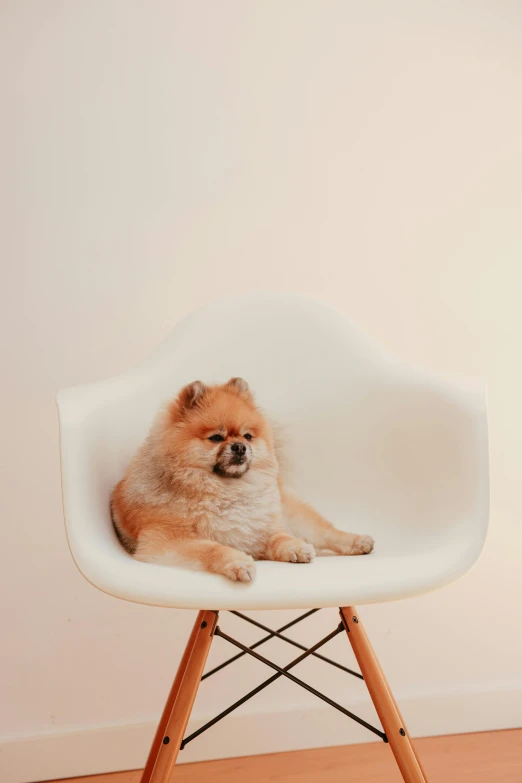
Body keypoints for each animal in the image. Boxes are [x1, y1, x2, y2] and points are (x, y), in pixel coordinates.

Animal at [109, 380, 372, 580]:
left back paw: (358, 541)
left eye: (247, 436)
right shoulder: (166, 540)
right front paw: (239, 563)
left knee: (326, 531)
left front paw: (296, 547)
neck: (226, 489)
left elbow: (280, 537)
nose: (240, 446)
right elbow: (213, 549)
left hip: (294, 513)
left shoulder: (262, 528)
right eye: (216, 437)